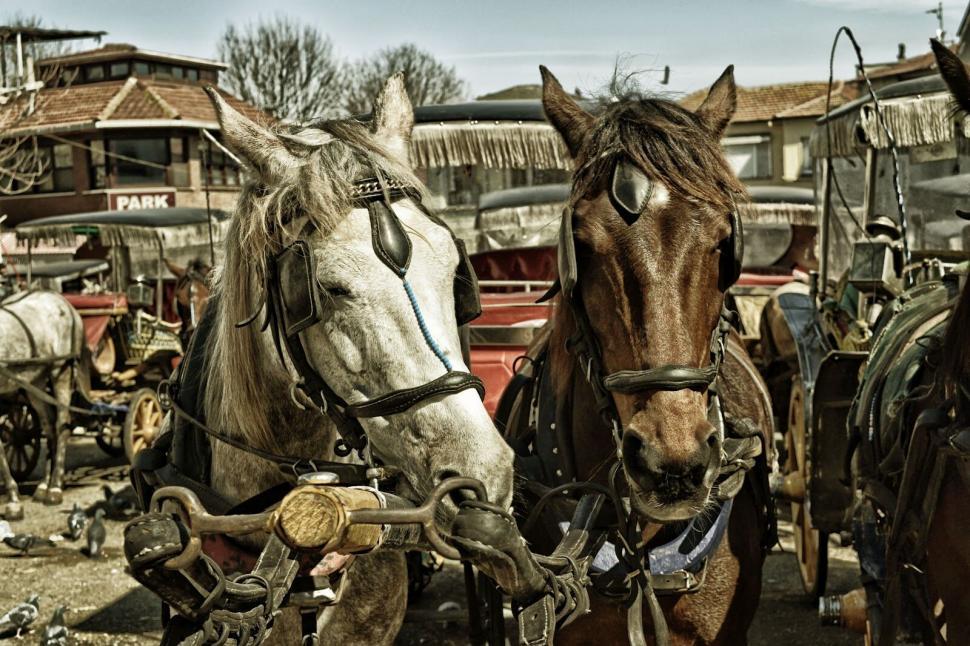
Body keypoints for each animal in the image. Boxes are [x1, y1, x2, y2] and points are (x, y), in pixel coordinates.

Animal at [0, 291, 83, 517]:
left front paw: (13, 500)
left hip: (60, 370)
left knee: (62, 426)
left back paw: (55, 488)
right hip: (34, 382)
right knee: (49, 428)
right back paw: (44, 486)